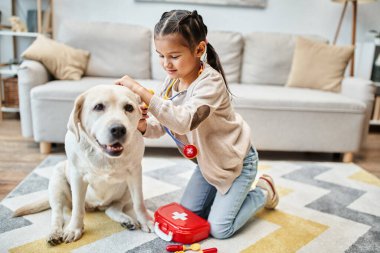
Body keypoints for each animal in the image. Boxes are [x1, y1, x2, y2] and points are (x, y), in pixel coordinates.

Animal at [13, 85, 153, 245]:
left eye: (129, 107)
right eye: (98, 107)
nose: (118, 129)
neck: (103, 155)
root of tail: (98, 205)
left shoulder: (135, 173)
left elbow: (139, 203)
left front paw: (146, 220)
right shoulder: (77, 177)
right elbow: (77, 208)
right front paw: (75, 229)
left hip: (126, 190)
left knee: (112, 208)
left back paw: (125, 220)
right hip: (57, 180)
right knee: (58, 213)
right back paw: (55, 233)